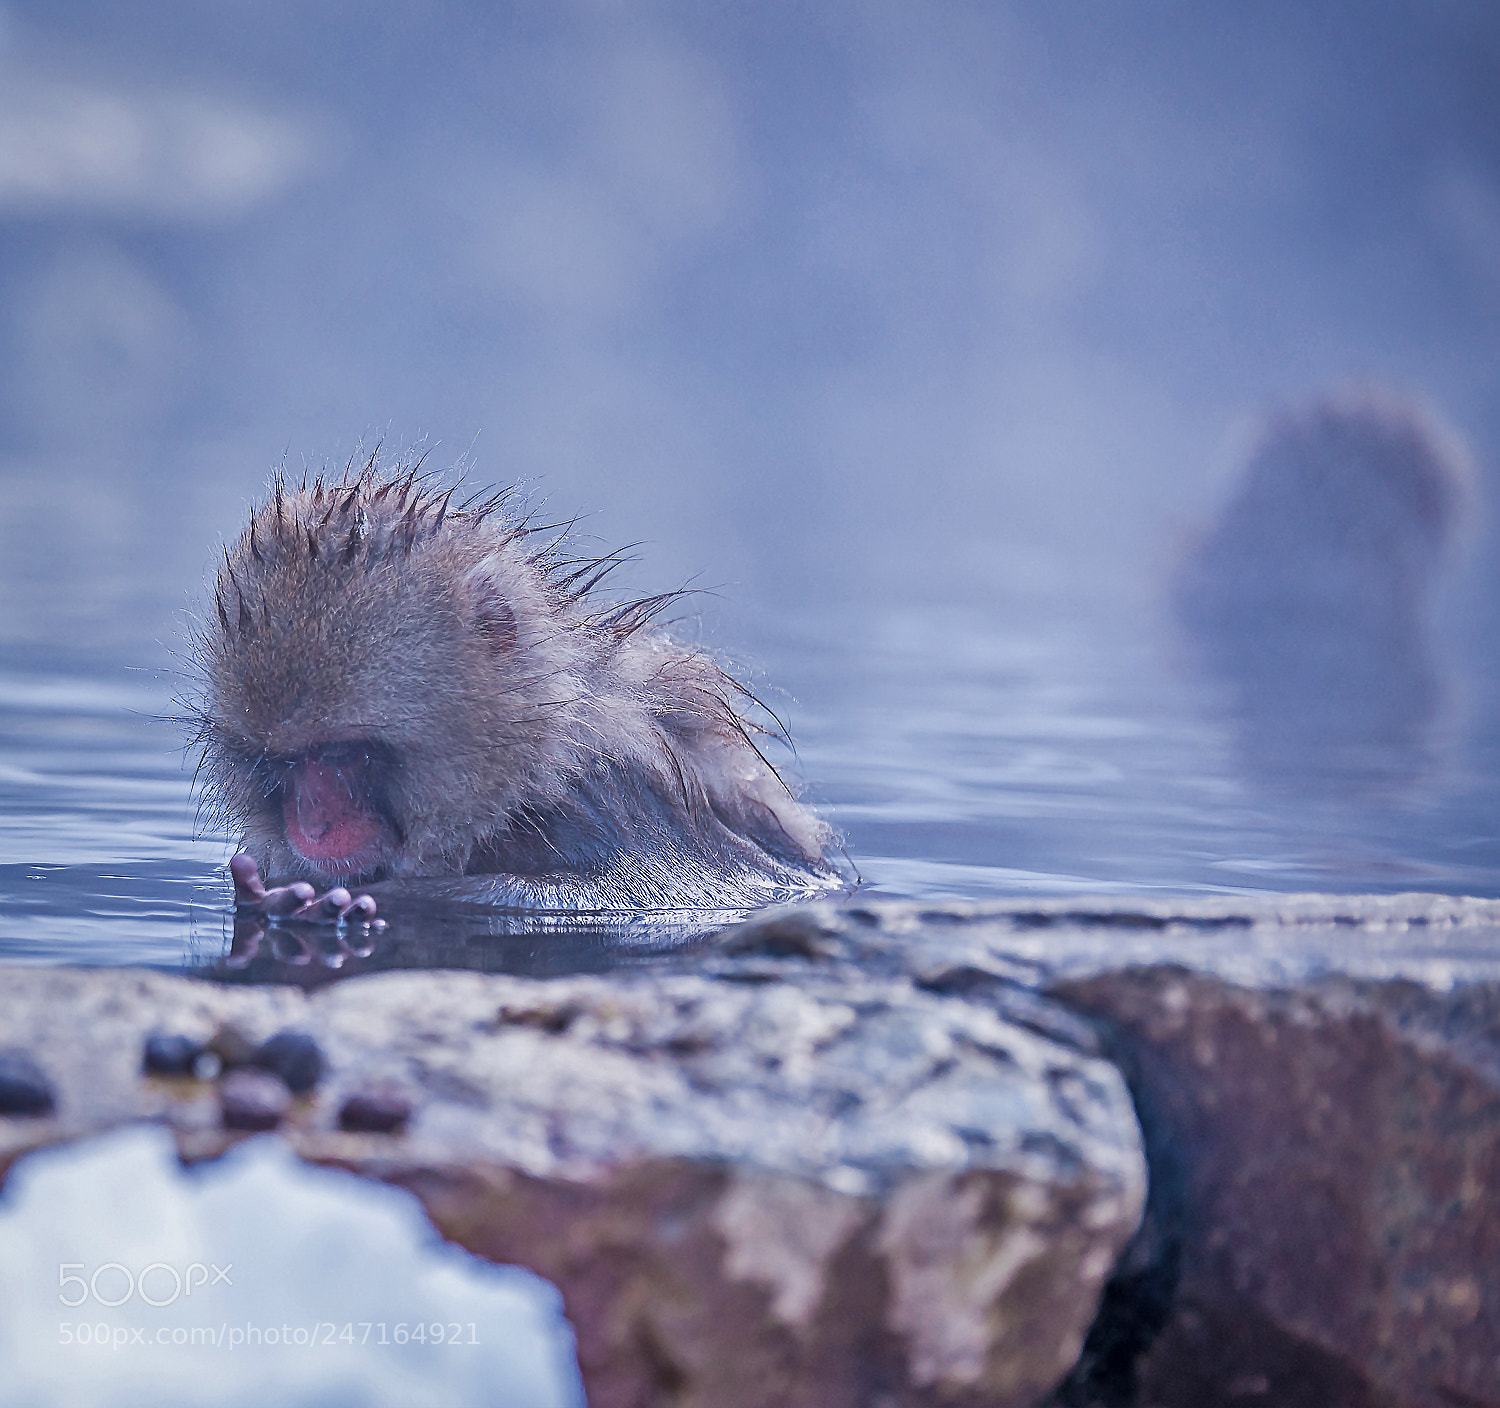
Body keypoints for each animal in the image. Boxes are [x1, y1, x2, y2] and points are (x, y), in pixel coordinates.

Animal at [188, 456, 844, 922]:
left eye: (348, 754)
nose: (313, 828)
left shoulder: (614, 793)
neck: (541, 764)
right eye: (282, 763)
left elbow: (650, 893)